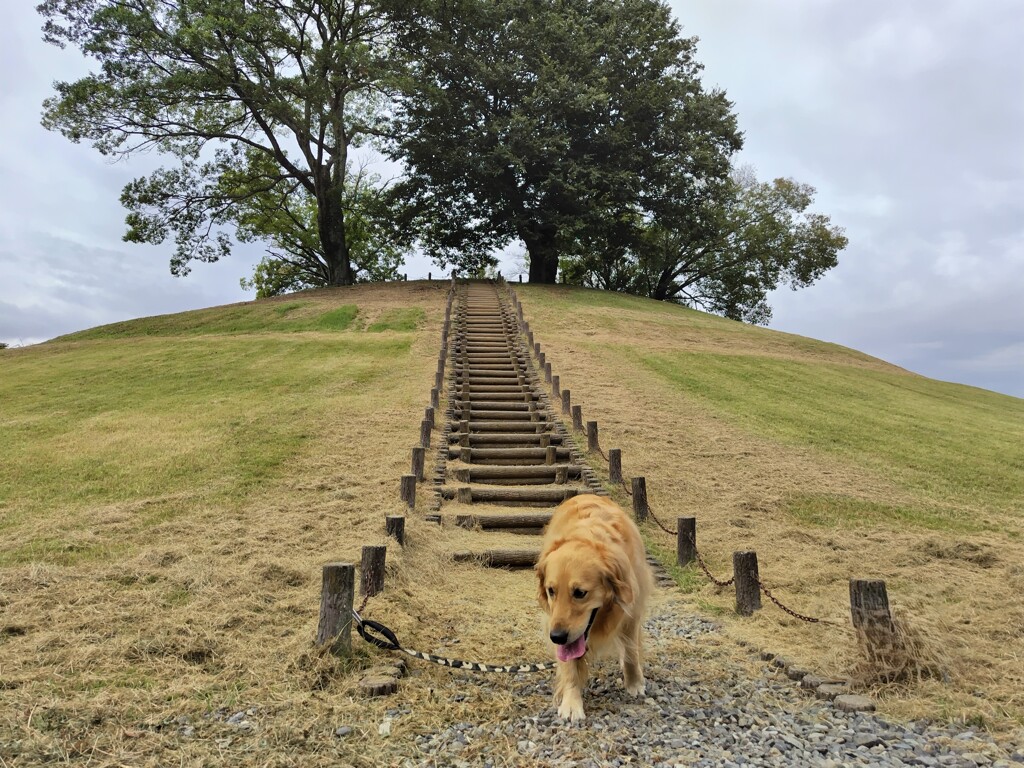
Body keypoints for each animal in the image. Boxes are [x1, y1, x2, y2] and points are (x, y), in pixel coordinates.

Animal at [536, 493, 655, 720]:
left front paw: (634, 683)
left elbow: (630, 652)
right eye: (551, 591)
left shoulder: (631, 611)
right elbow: (570, 666)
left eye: (580, 593)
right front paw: (571, 702)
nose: (556, 637)